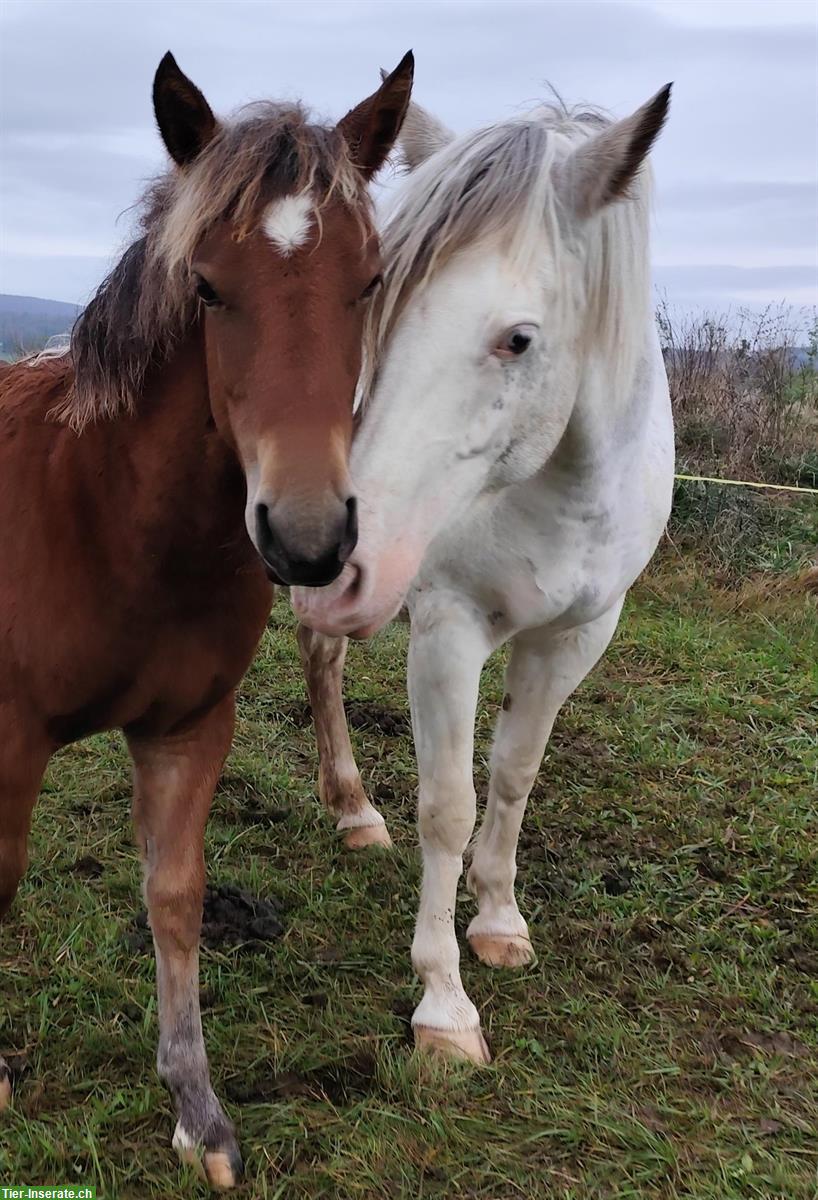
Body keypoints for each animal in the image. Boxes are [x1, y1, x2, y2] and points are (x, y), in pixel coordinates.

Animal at [0, 49, 407, 1190]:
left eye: (366, 280)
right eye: (208, 287)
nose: (307, 536)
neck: (108, 518)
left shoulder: (187, 730)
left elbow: (174, 899)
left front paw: (197, 1110)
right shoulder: (8, 746)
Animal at [291, 82, 666, 1060]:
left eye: (519, 340)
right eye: (381, 303)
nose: (338, 563)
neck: (562, 490)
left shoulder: (576, 636)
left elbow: (515, 773)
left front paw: (498, 921)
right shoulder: (447, 628)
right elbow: (447, 806)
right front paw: (445, 1007)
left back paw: (353, 811)